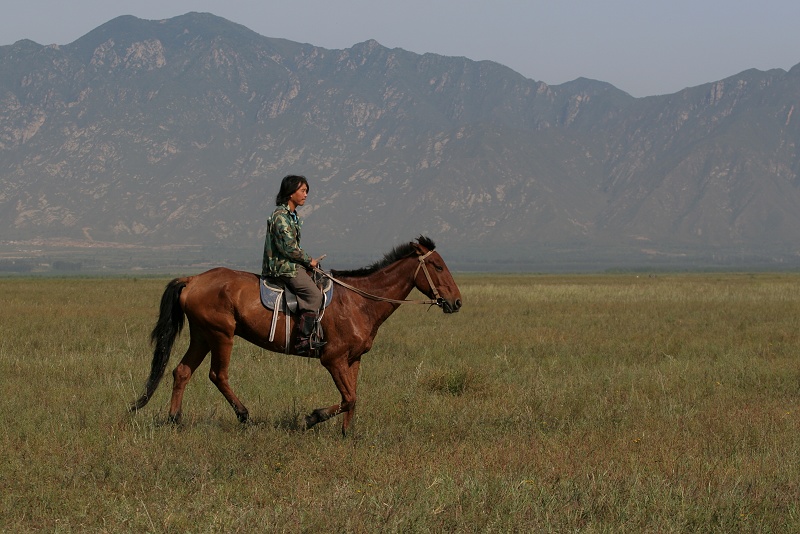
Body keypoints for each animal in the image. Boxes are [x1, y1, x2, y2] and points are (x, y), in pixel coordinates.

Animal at [130, 236, 462, 436]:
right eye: (437, 266)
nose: (456, 302)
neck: (360, 302)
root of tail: (193, 279)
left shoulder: (353, 360)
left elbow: (353, 398)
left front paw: (346, 434)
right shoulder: (332, 359)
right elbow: (349, 397)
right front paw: (311, 417)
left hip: (201, 335)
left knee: (181, 371)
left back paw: (175, 419)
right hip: (221, 335)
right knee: (217, 375)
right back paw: (243, 414)